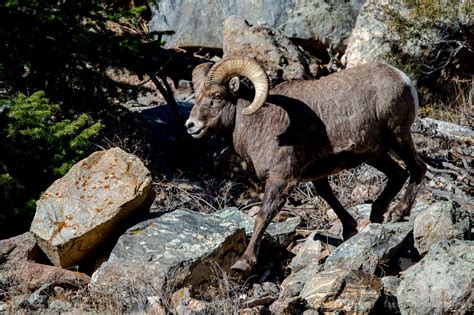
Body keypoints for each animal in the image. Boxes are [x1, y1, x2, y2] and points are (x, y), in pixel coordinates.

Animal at [184, 55, 426, 272]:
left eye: (217, 96)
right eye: (197, 96)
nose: (190, 125)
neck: (260, 123)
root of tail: (403, 78)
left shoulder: (281, 179)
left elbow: (263, 216)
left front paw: (243, 263)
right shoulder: (316, 174)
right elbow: (328, 196)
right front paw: (350, 231)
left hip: (398, 137)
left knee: (418, 169)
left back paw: (398, 213)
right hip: (374, 154)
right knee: (398, 174)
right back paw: (377, 215)